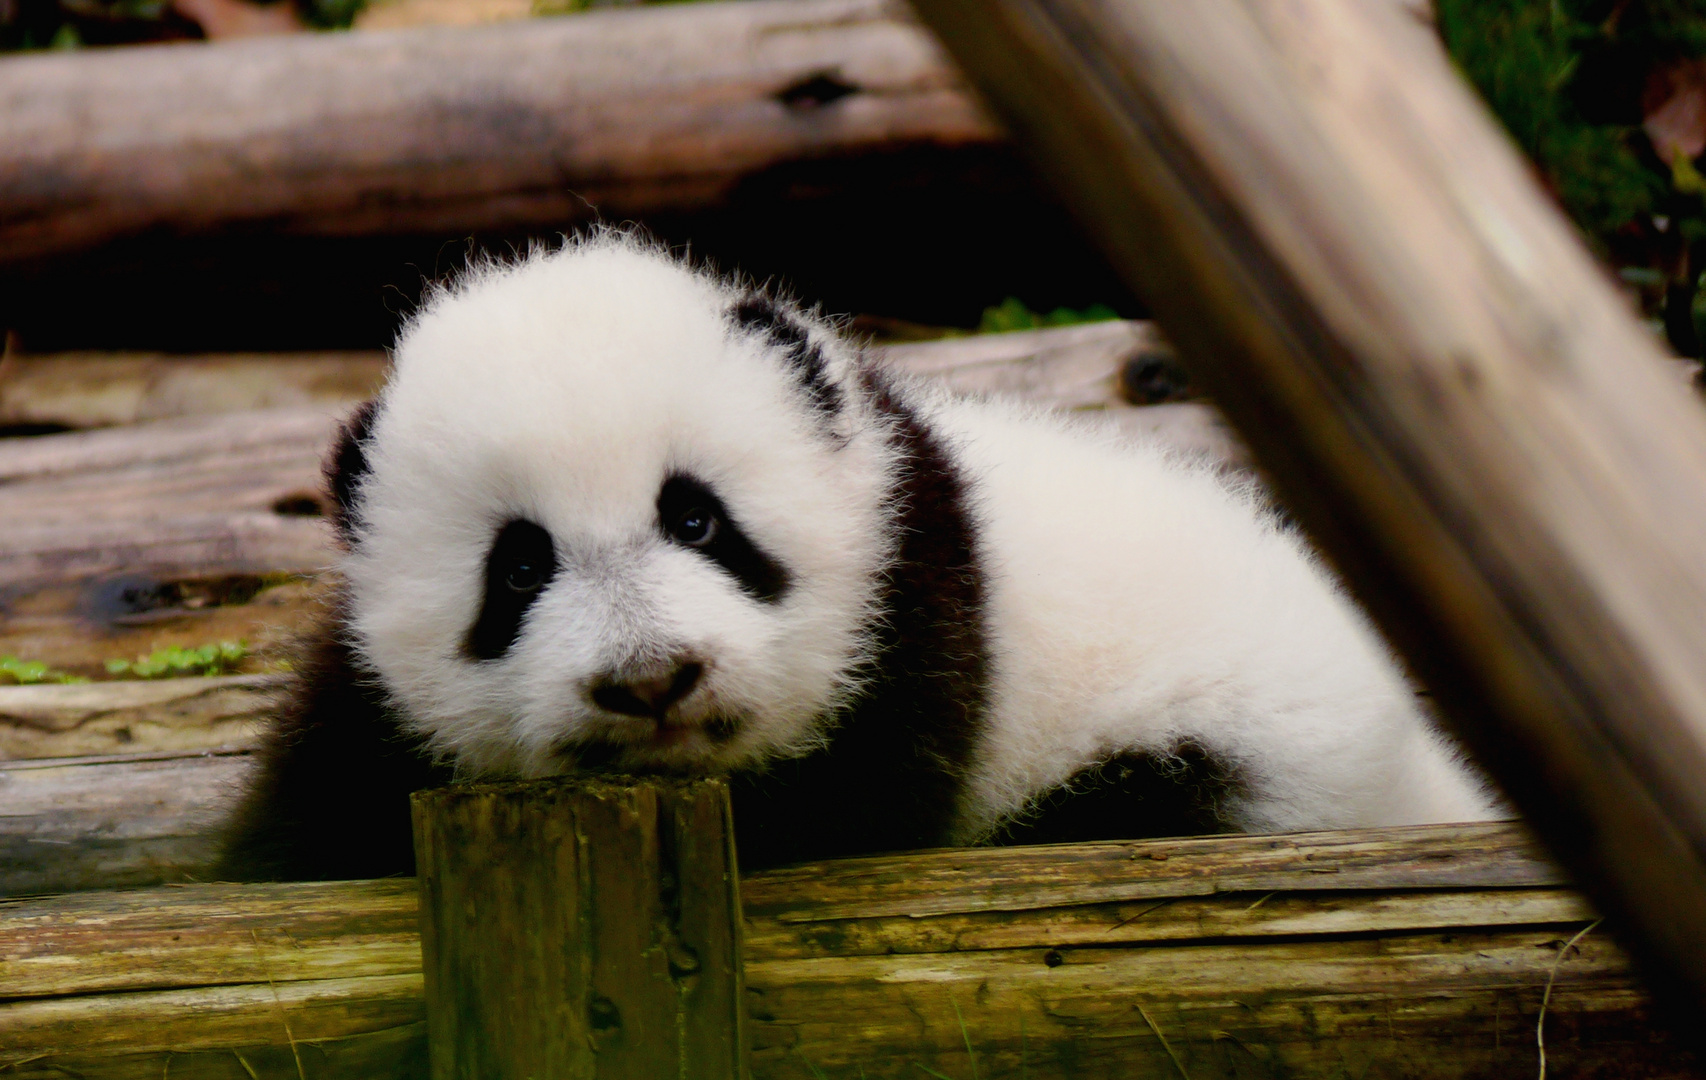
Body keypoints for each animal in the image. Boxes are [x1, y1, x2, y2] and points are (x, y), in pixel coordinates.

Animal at [217, 233, 1498, 881]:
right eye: (517, 569)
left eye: (697, 520)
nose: (651, 681)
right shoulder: (372, 706)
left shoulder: (910, 614)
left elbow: (851, 807)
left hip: (1232, 752)